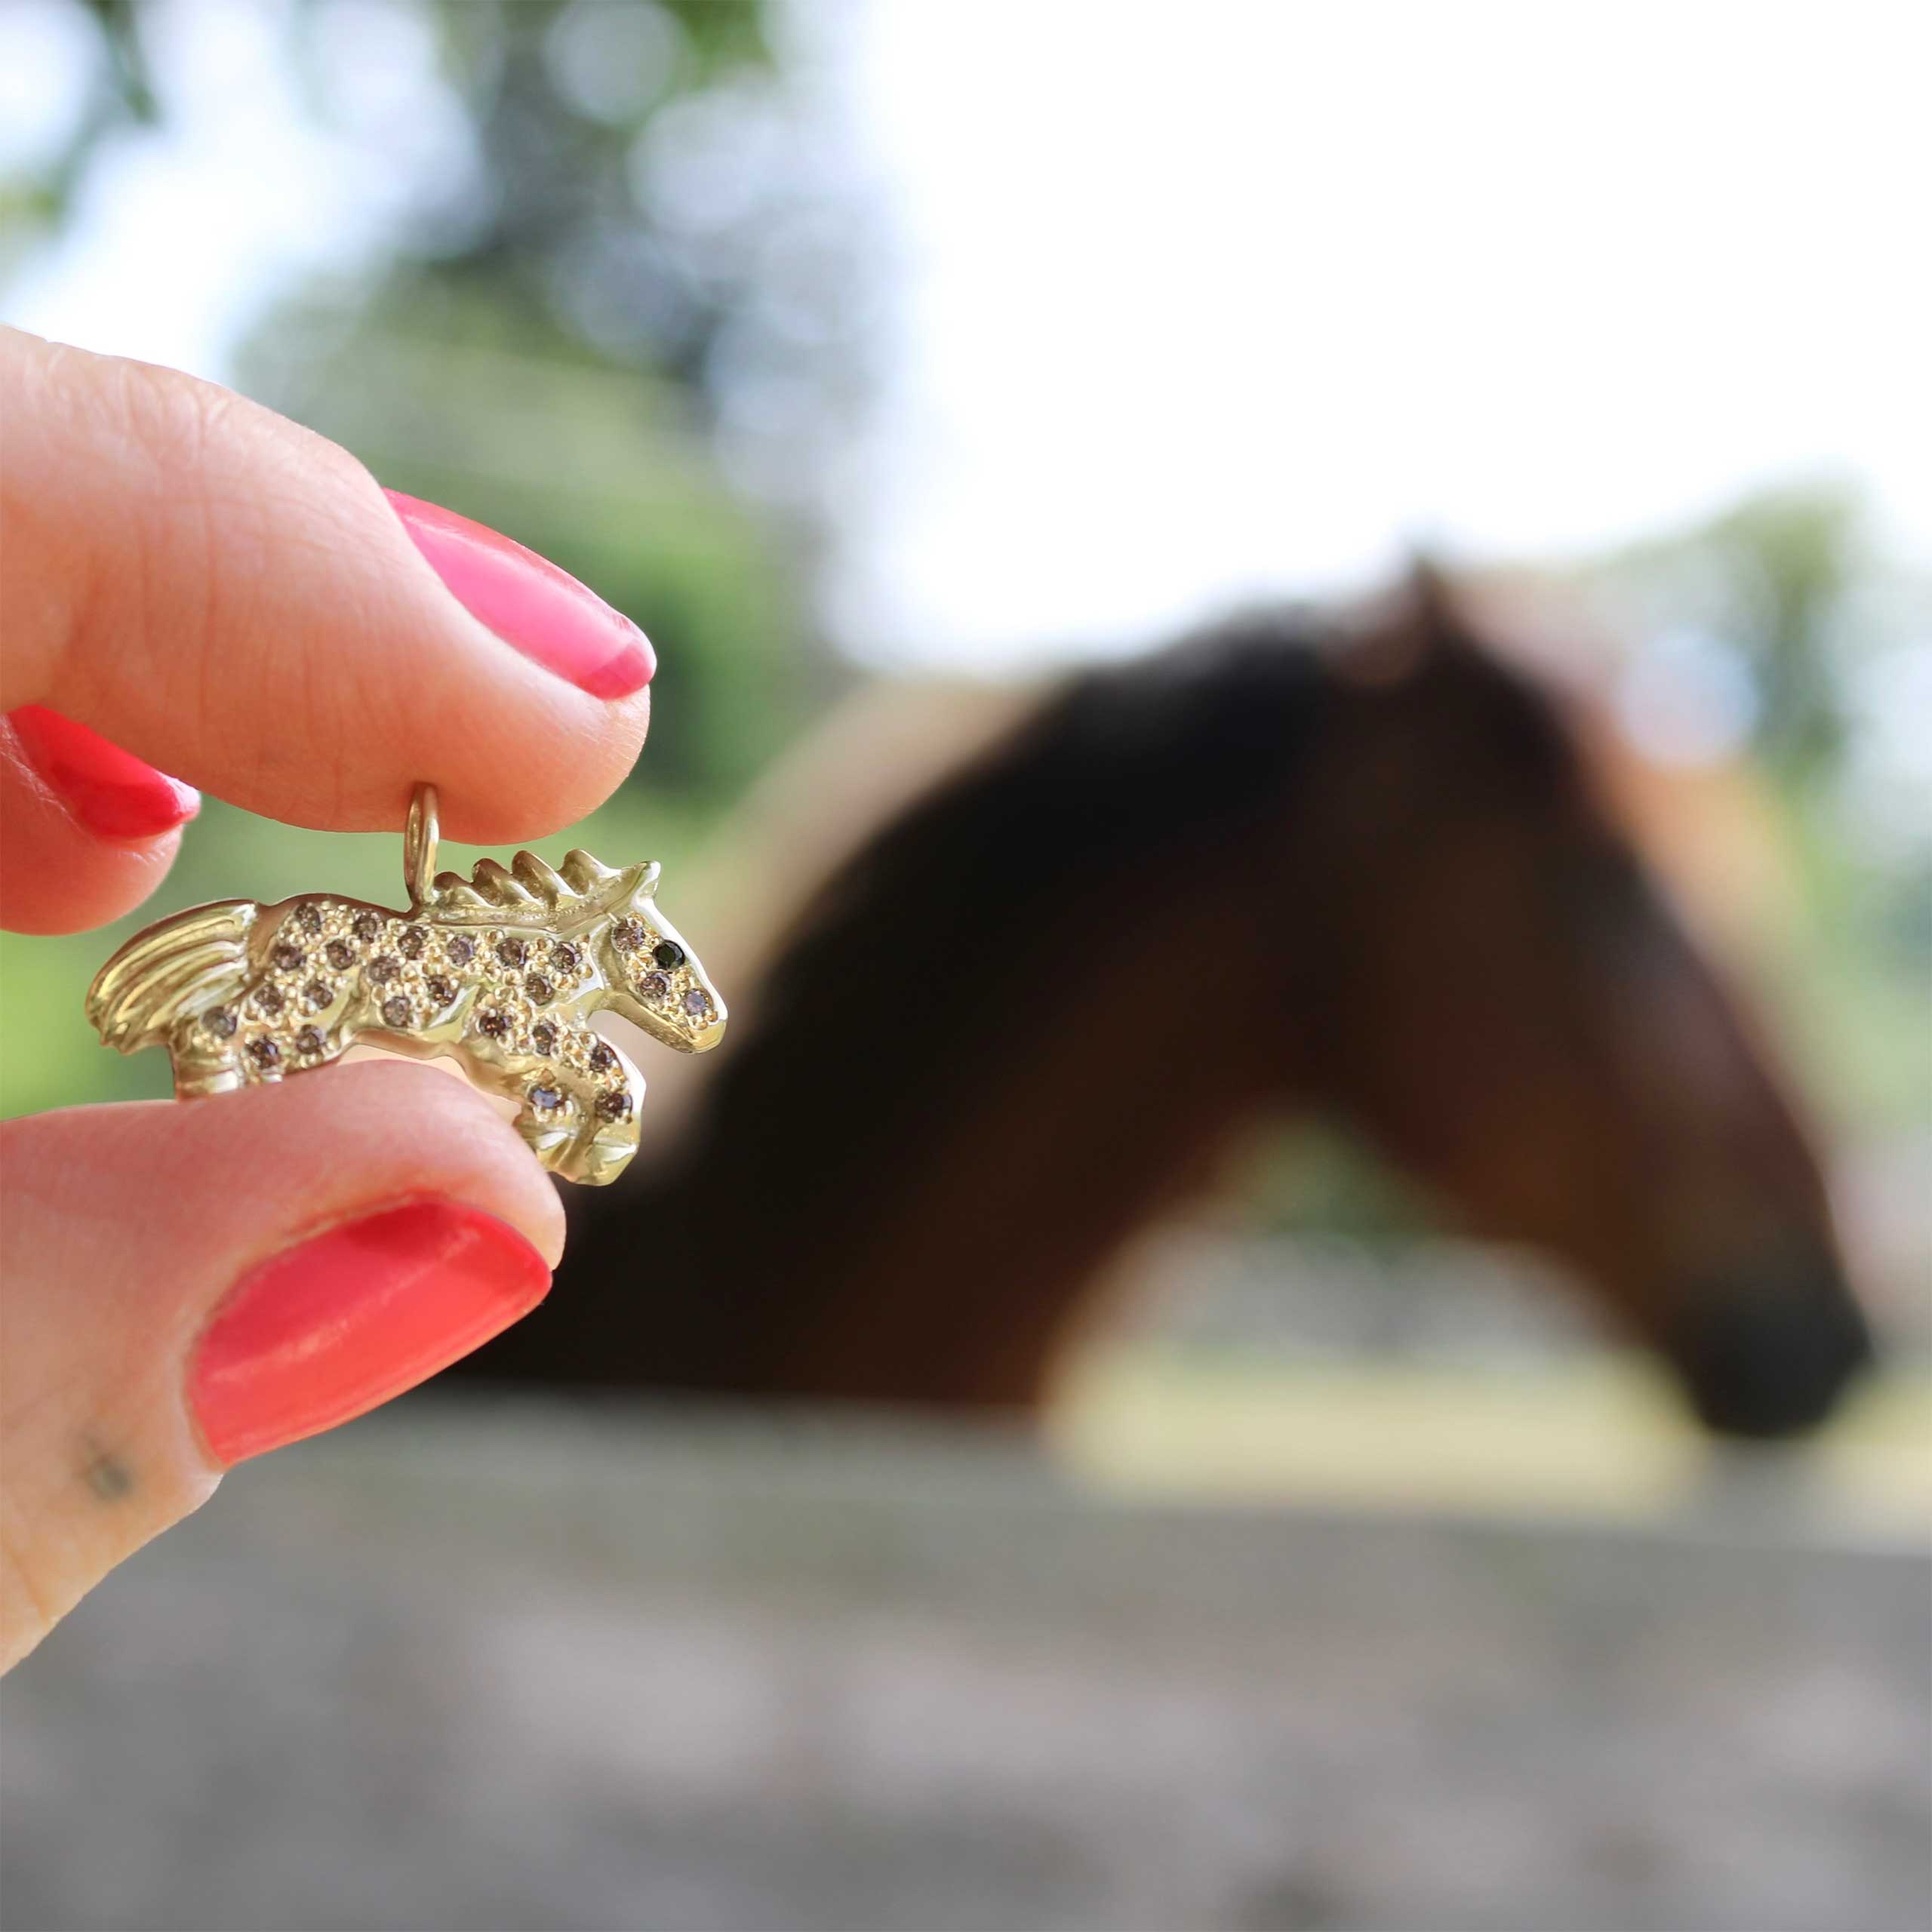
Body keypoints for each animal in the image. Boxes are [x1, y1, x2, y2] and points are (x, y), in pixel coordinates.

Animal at [86, 848, 725, 1185]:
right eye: (669, 955)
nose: (713, 1024)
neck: (544, 955)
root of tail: (266, 919)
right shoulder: (509, 1035)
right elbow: (612, 1065)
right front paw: (601, 1153)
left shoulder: (522, 1060)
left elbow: (570, 1091)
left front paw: (552, 1145)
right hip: (304, 1015)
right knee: (210, 1032)